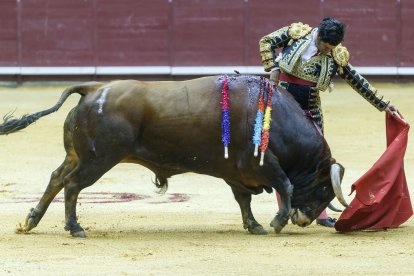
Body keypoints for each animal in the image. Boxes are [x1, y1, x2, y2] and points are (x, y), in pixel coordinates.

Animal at [0, 75, 348, 237]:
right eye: (323, 188)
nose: (304, 220)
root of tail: (94, 88)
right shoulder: (258, 164)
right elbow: (285, 185)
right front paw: (276, 221)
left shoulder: (236, 172)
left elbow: (244, 200)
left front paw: (254, 225)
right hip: (97, 160)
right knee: (72, 186)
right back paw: (74, 228)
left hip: (78, 156)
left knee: (56, 179)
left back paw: (30, 221)